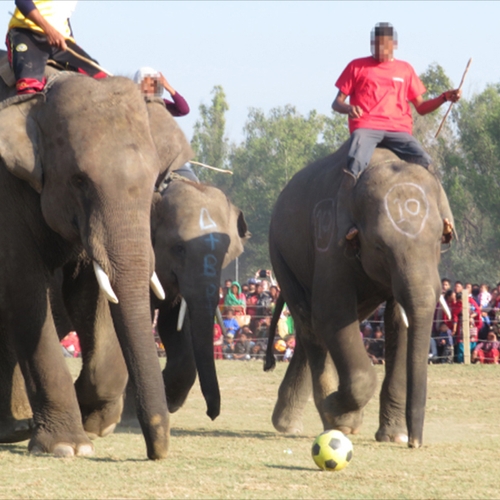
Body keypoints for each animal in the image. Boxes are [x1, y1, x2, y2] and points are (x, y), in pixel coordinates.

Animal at [0, 63, 193, 460]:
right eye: (79, 180)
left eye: (156, 182)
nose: (157, 452)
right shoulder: (6, 189)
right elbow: (25, 287)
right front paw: (67, 446)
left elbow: (93, 294)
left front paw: (96, 421)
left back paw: (13, 429)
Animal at [264, 142, 456, 450]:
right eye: (379, 246)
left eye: (440, 239)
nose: (415, 443)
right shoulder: (331, 242)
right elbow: (332, 314)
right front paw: (339, 415)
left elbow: (398, 323)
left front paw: (394, 435)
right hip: (281, 255)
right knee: (310, 323)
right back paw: (325, 416)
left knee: (312, 330)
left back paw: (288, 423)